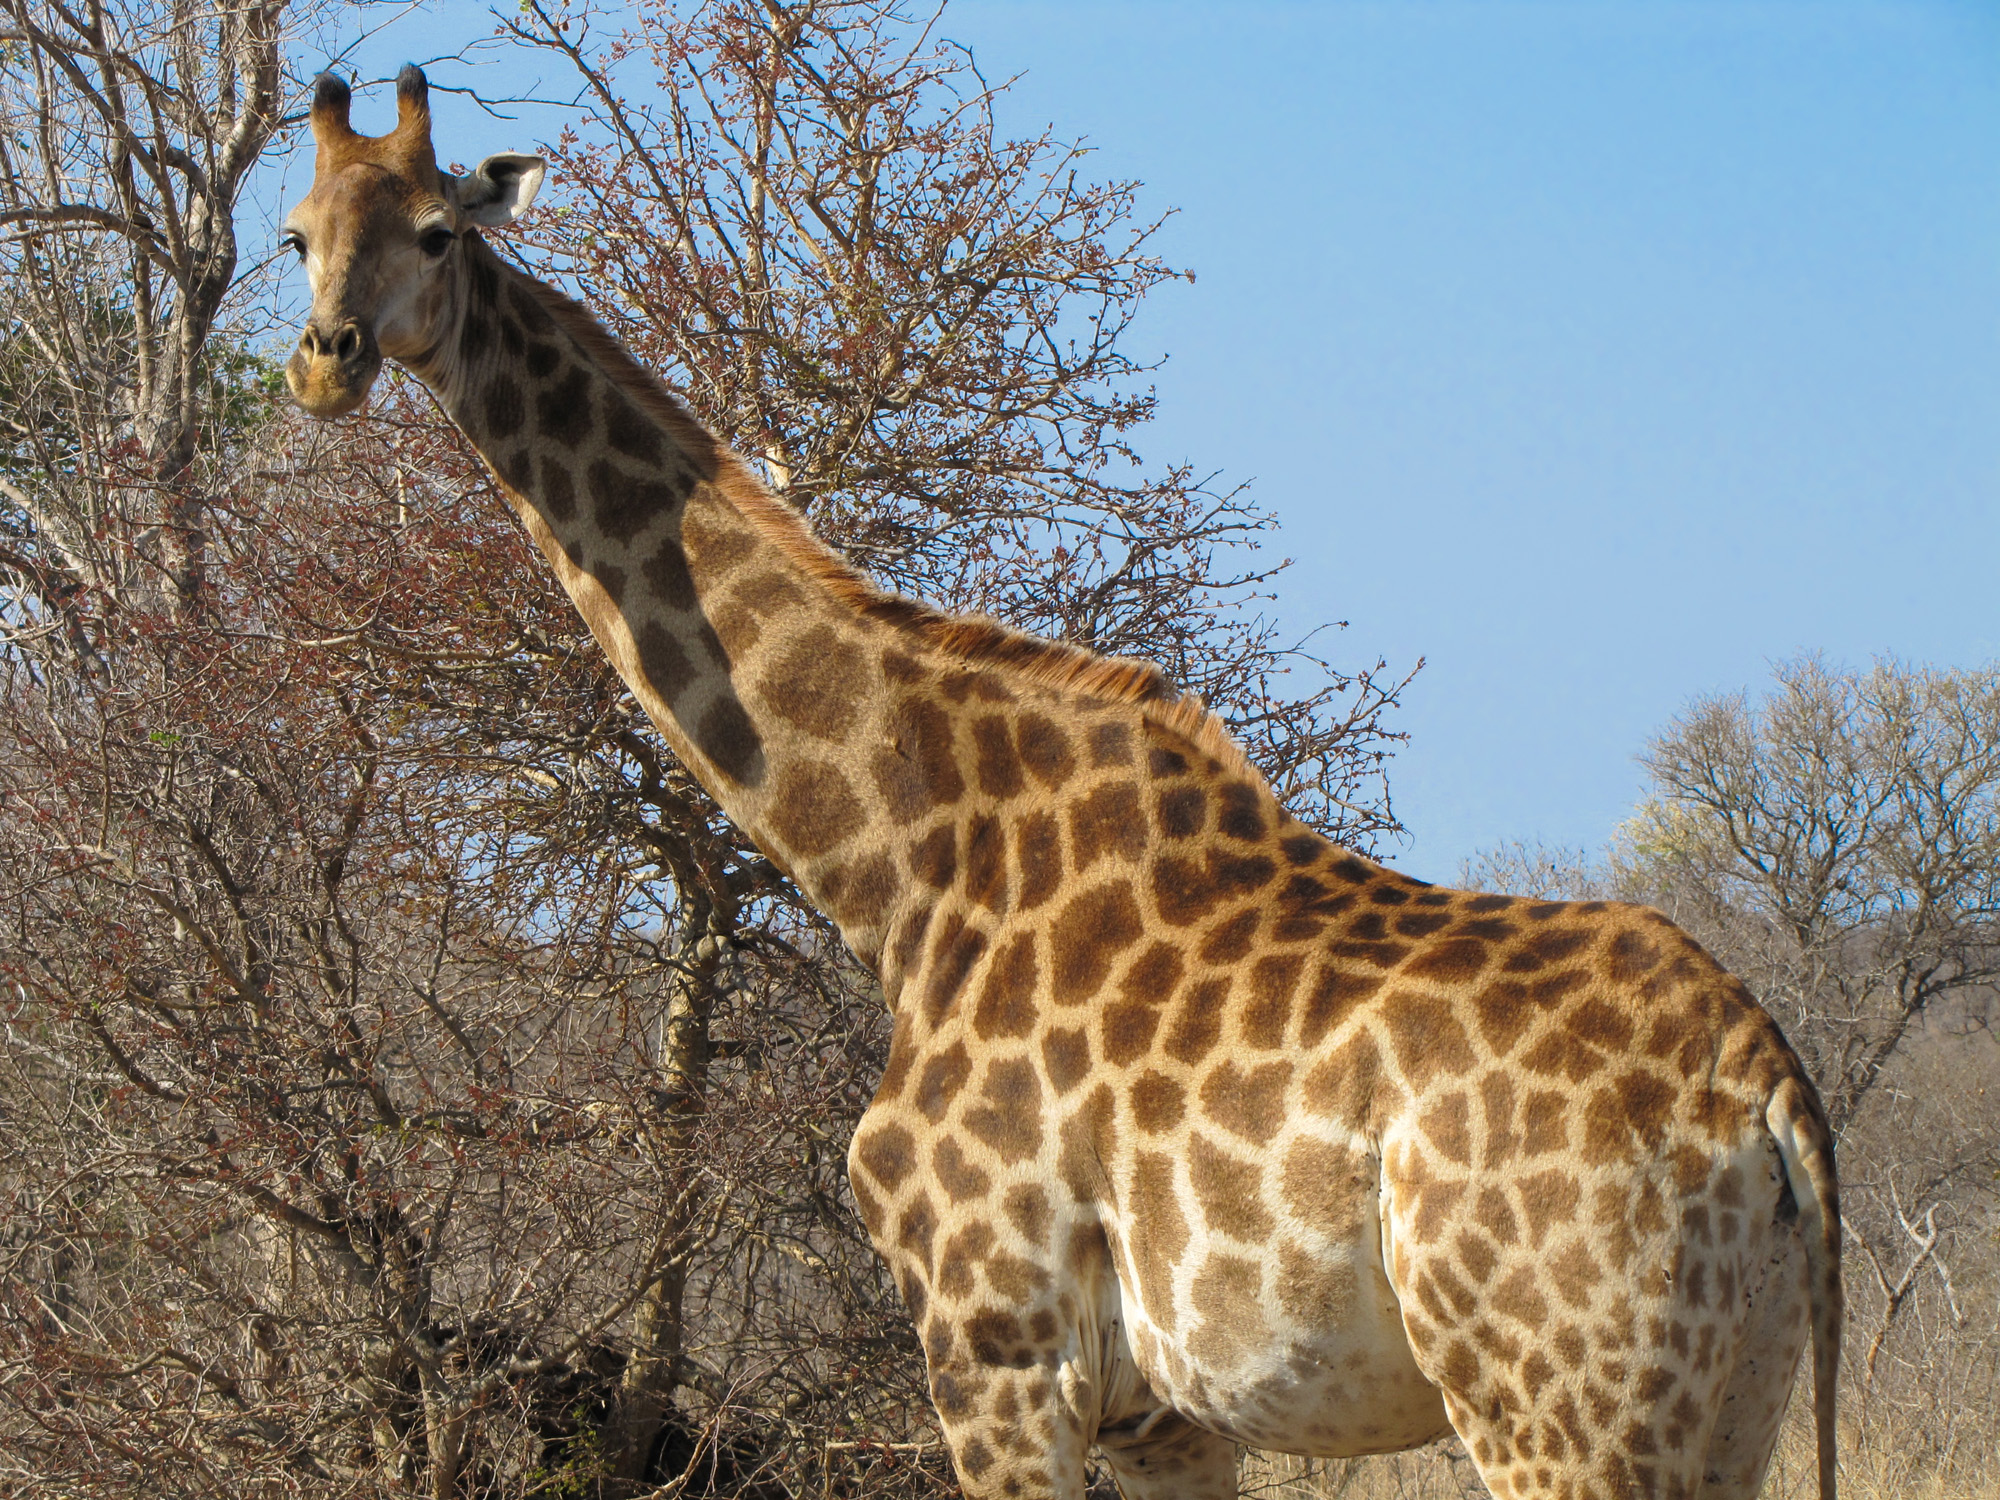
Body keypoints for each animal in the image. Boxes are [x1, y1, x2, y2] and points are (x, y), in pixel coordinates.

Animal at [284, 67, 1841, 1500]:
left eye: (436, 231)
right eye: (296, 234)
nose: (324, 361)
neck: (901, 872)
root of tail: (1767, 1088)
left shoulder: (993, 1342)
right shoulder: (1165, 1416)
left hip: (1549, 1408)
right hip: (1727, 1404)